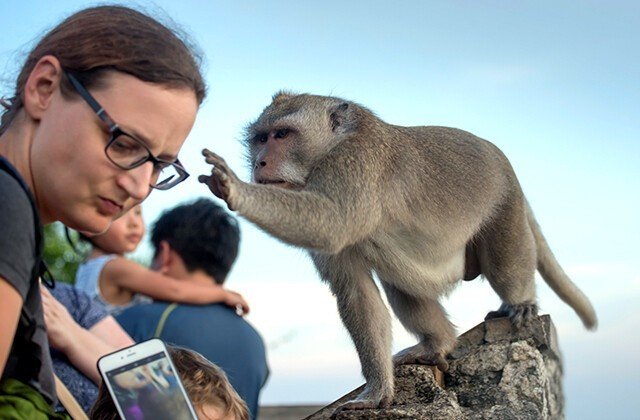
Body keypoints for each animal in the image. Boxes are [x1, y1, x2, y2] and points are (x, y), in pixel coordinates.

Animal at [198, 91, 596, 410]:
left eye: (282, 134)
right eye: (260, 138)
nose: (259, 162)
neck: (331, 147)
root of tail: (503, 160)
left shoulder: (355, 165)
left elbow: (329, 222)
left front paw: (235, 187)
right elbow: (356, 292)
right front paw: (377, 390)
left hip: (505, 204)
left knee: (504, 264)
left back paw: (520, 302)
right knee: (400, 282)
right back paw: (435, 344)